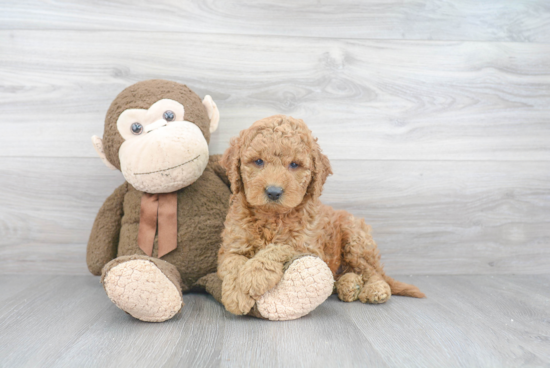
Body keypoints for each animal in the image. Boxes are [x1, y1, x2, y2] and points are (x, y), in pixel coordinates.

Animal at [218, 115, 424, 316]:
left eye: (294, 165)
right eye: (258, 161)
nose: (274, 192)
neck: (272, 217)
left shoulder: (308, 246)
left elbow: (281, 247)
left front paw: (254, 274)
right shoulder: (232, 245)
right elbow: (232, 263)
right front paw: (236, 295)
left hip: (355, 238)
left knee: (372, 271)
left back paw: (375, 289)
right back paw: (349, 285)